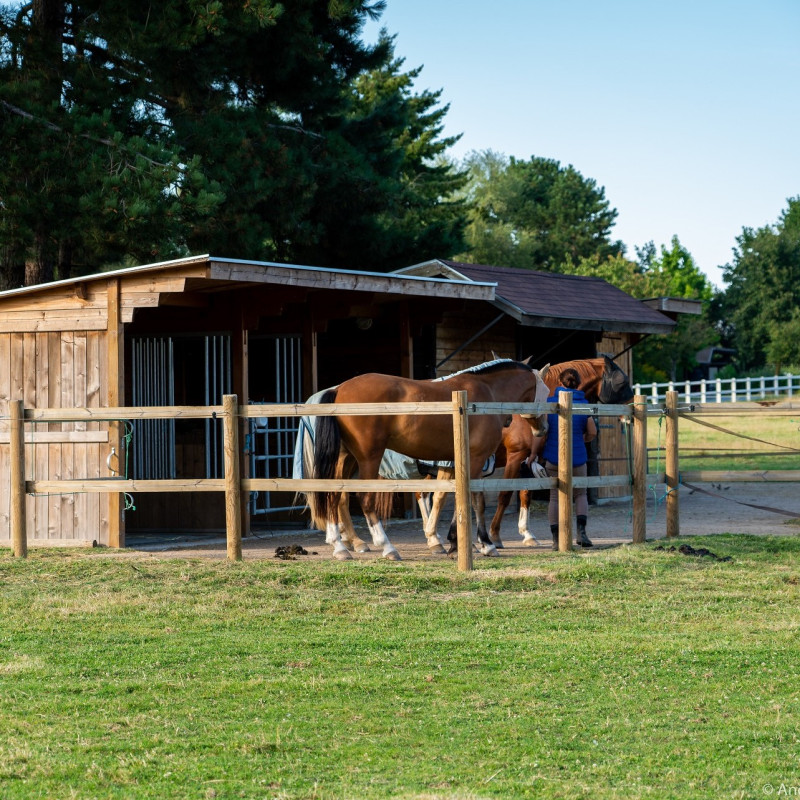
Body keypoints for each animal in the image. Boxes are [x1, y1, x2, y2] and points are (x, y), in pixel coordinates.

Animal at [304, 360, 552, 560]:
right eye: (547, 391)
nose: (543, 428)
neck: (487, 394)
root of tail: (338, 389)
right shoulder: (476, 460)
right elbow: (474, 501)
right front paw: (482, 543)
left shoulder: (465, 462)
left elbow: (461, 499)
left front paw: (462, 543)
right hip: (368, 458)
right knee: (365, 498)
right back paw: (386, 546)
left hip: (346, 458)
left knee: (334, 495)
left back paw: (339, 546)